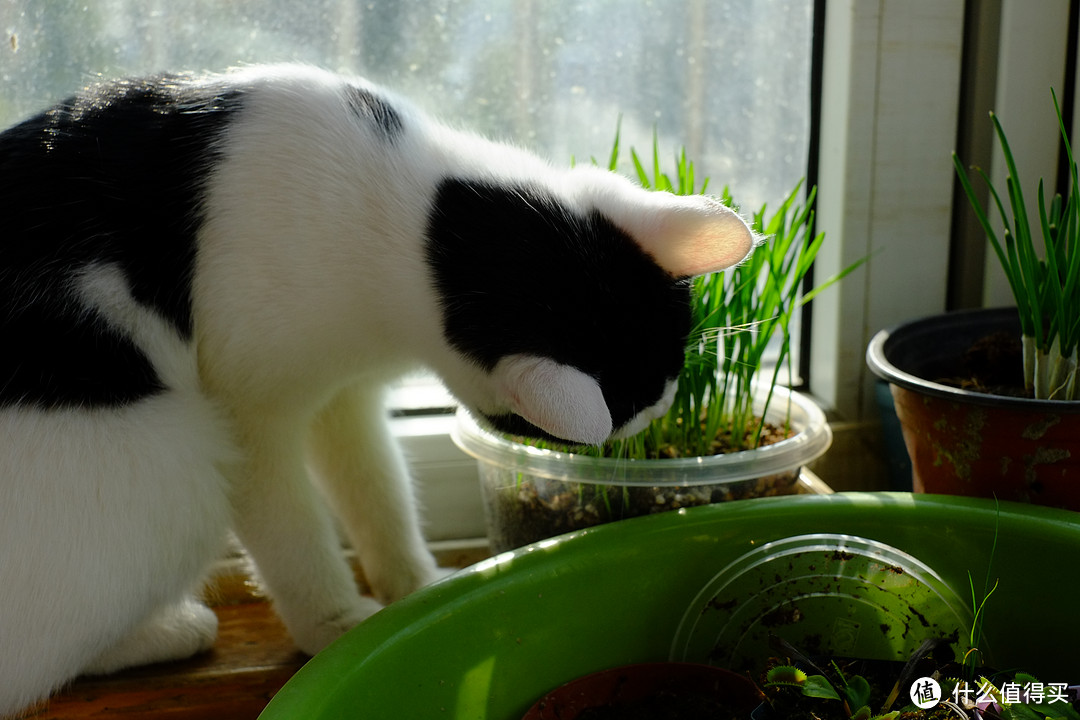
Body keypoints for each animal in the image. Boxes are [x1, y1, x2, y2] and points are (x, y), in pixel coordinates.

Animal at [0, 63, 751, 716]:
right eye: (635, 411)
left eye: (670, 383)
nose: (656, 416)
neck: (408, 216)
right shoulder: (251, 415)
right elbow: (294, 528)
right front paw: (333, 622)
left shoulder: (345, 397)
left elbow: (377, 491)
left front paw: (414, 589)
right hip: (179, 463)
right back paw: (171, 631)